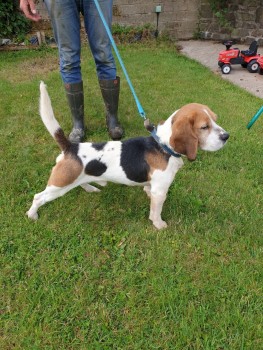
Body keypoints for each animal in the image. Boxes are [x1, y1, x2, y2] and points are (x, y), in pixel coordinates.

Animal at [25, 82, 230, 230]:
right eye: (204, 127)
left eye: (215, 120)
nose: (226, 136)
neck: (162, 145)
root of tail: (70, 147)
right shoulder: (160, 190)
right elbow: (156, 211)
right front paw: (159, 225)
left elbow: (148, 190)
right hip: (58, 185)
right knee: (38, 197)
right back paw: (32, 215)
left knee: (80, 183)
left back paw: (91, 188)